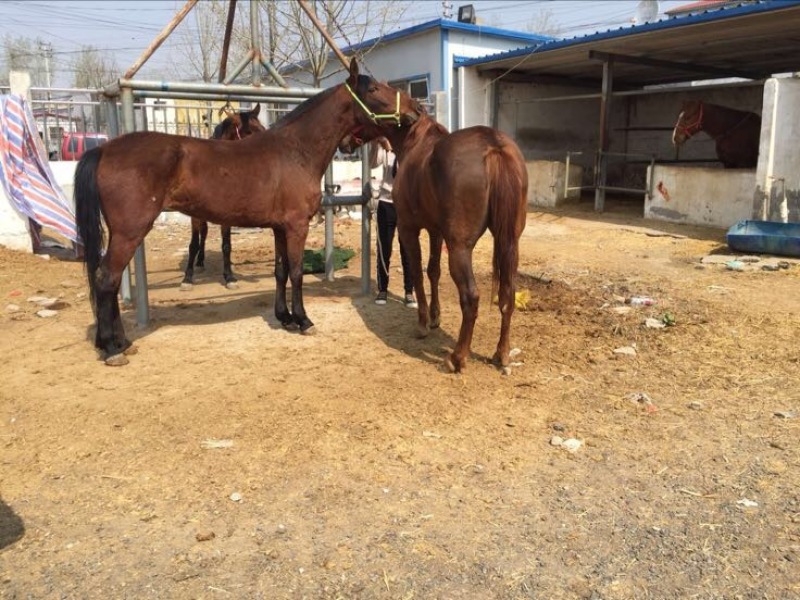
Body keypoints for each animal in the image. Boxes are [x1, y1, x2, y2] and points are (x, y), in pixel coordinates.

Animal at [182, 104, 266, 290]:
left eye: (263, 129)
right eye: (249, 132)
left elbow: (227, 245)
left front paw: (230, 277)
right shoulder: (195, 216)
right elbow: (193, 244)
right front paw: (187, 278)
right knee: (202, 234)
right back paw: (199, 263)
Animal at [341, 78, 528, 374]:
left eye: (360, 103)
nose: (344, 143)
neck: (415, 142)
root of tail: (494, 146)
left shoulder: (409, 229)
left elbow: (417, 273)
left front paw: (422, 324)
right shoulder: (436, 231)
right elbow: (433, 271)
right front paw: (435, 318)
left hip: (460, 248)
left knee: (471, 297)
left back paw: (457, 358)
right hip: (510, 243)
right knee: (507, 295)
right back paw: (502, 355)